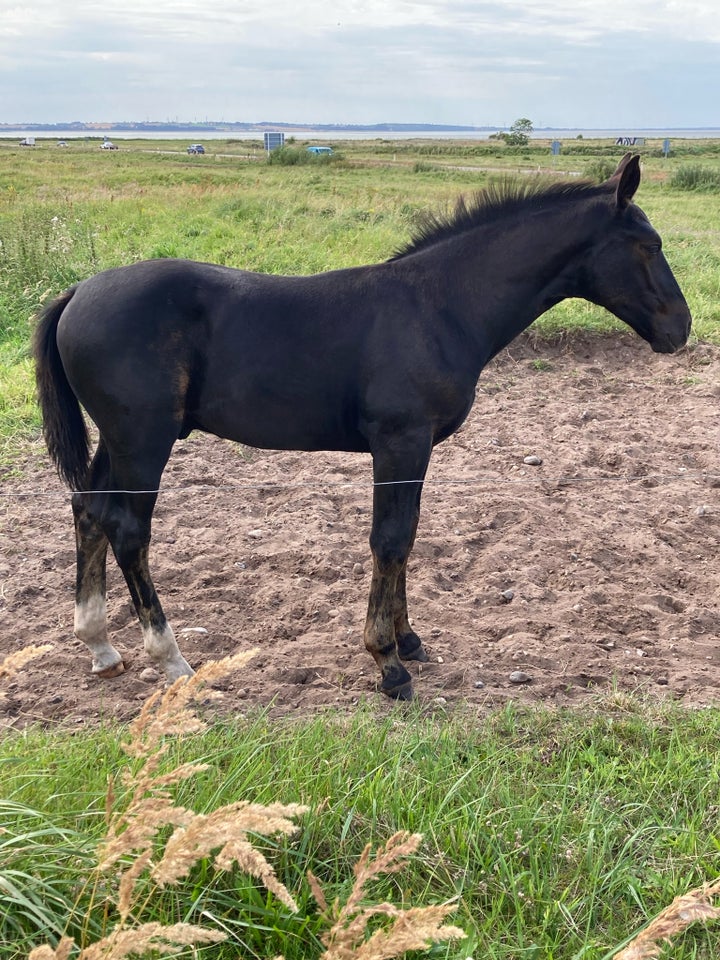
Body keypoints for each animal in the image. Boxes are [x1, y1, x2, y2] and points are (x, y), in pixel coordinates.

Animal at [33, 156, 692, 696]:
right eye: (649, 244)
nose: (679, 328)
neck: (438, 306)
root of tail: (77, 293)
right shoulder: (401, 441)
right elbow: (390, 539)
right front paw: (388, 663)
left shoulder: (414, 448)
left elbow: (407, 537)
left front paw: (409, 641)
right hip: (144, 440)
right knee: (128, 529)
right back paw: (170, 660)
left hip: (117, 440)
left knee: (89, 509)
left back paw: (100, 646)